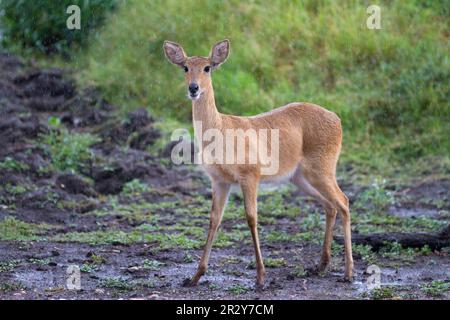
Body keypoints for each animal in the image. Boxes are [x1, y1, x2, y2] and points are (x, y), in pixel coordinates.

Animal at [163, 39, 354, 288]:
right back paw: (320, 266)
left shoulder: (250, 177)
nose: (193, 88)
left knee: (344, 202)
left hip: (322, 172)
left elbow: (251, 218)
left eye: (207, 67)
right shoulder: (220, 181)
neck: (221, 128)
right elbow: (214, 220)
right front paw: (195, 276)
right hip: (300, 179)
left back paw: (348, 273)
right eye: (185, 67)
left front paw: (261, 276)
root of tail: (336, 117)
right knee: (330, 206)